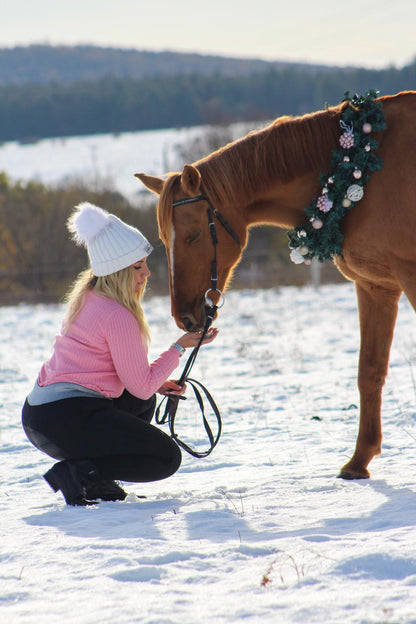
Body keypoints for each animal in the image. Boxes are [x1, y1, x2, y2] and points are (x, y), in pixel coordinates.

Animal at [136, 90, 416, 478]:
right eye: (164, 239)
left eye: (193, 235)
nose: (185, 318)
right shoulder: (376, 287)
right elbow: (369, 371)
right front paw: (359, 462)